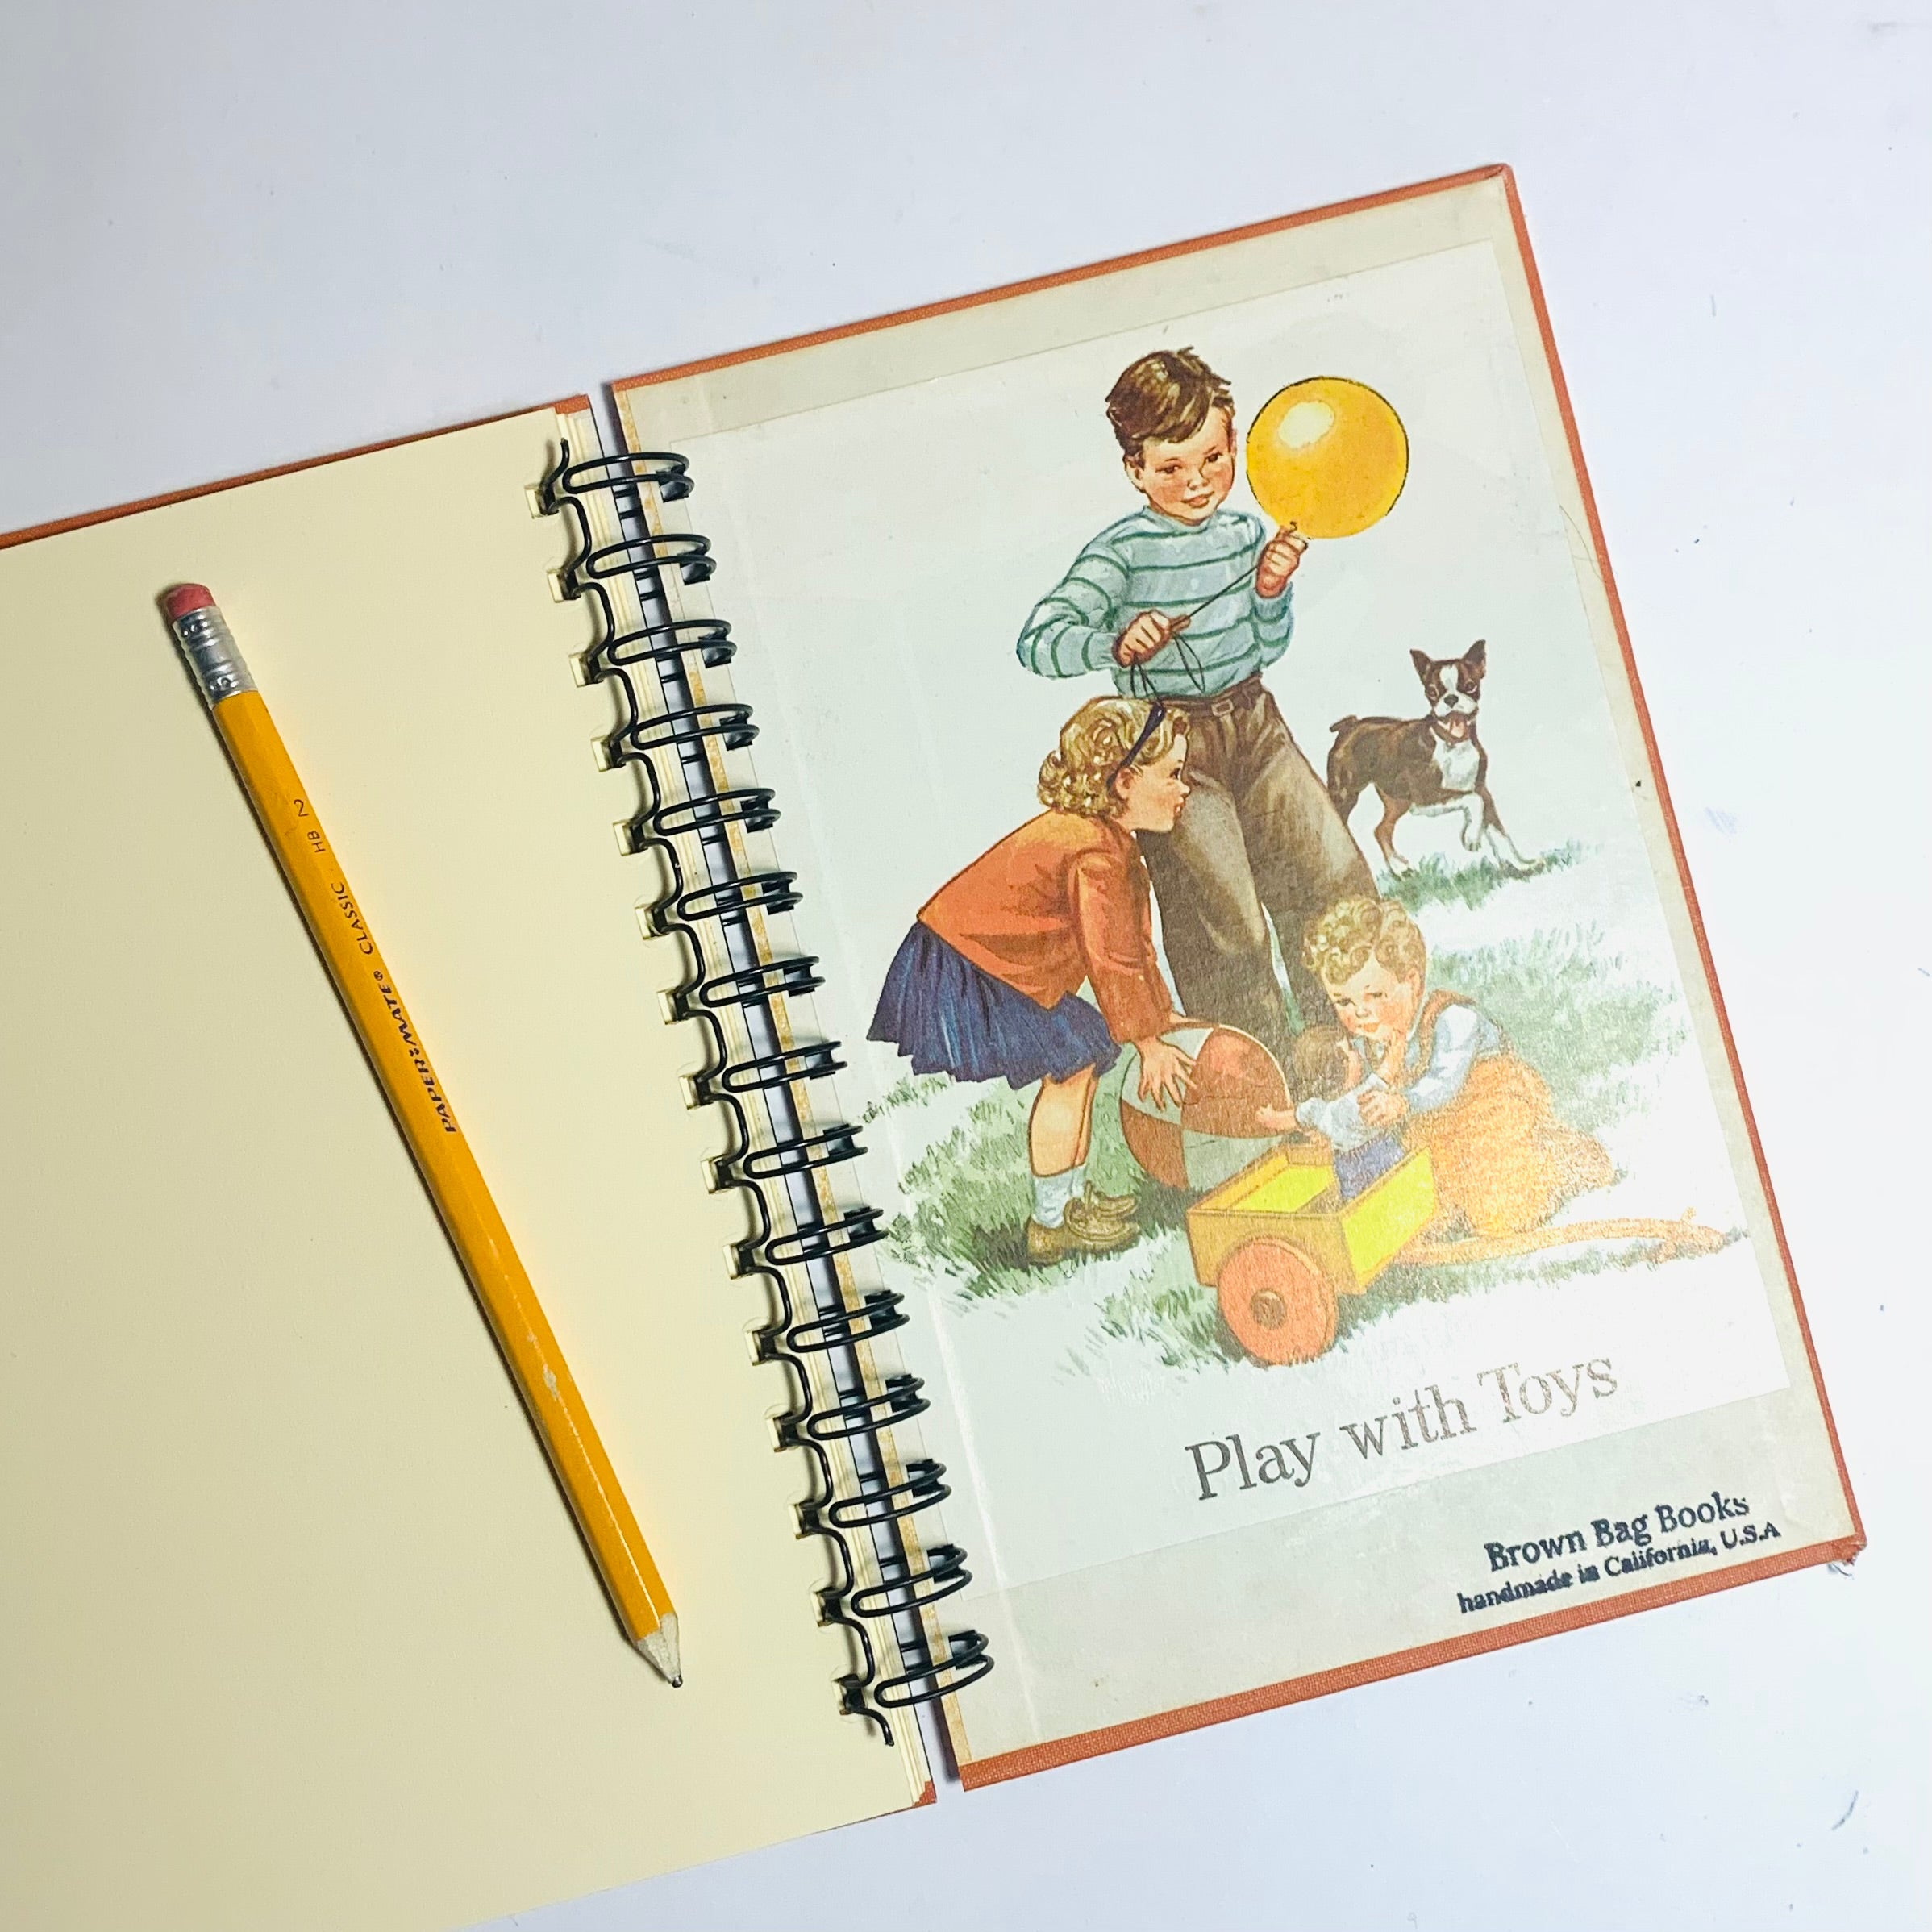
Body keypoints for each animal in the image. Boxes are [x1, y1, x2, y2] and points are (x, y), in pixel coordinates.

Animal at [1325, 641, 1534, 877]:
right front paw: (1471, 837)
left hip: (1398, 800)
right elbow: (1472, 800)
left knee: (1381, 829)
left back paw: (1399, 868)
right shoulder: (1427, 796)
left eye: (1470, 685)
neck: (1454, 744)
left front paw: (1521, 865)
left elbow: (1498, 830)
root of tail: (1351, 724)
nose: (1451, 699)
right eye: (1432, 691)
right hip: (1346, 793)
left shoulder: (1481, 790)